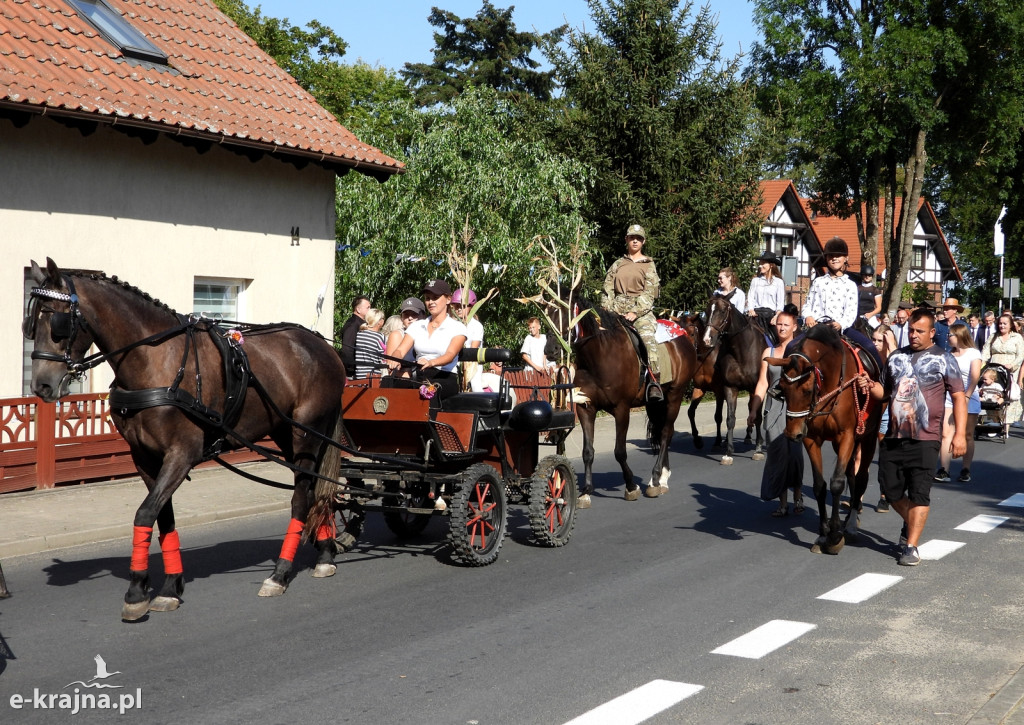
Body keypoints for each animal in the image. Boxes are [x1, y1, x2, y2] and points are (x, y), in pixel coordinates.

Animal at [19, 258, 346, 618]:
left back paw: (281, 572)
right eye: (30, 324)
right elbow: (163, 518)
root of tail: (322, 345)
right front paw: (168, 587)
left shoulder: (181, 454)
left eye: (57, 322)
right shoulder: (145, 457)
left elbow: (145, 513)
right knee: (314, 489)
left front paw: (136, 590)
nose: (41, 386)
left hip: (306, 433)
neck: (156, 363)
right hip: (286, 434)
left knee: (301, 497)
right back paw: (325, 552)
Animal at [565, 301, 700, 503]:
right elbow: (588, 451)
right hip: (655, 403)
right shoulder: (585, 408)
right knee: (665, 432)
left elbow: (620, 451)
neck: (600, 356)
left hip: (675, 395)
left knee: (666, 433)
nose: (550, 348)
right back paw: (662, 479)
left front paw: (630, 486)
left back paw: (655, 479)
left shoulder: (621, 408)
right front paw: (586, 491)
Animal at [704, 296, 770, 460]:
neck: (741, 350)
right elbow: (730, 418)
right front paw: (728, 451)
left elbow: (758, 417)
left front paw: (758, 449)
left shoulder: (757, 387)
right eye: (706, 311)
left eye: (722, 311)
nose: (707, 339)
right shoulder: (730, 387)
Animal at [765, 323, 884, 557]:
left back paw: (851, 525)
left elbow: (837, 483)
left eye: (807, 390)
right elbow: (820, 485)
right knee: (852, 475)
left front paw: (835, 536)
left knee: (861, 477)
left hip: (867, 436)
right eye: (783, 387)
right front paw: (823, 533)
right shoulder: (811, 439)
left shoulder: (847, 435)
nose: (792, 434)